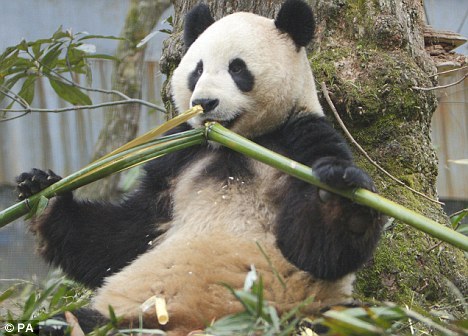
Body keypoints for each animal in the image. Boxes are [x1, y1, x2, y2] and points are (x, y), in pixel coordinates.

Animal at [16, 1, 384, 334]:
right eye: (197, 70)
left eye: (238, 69)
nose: (204, 103)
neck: (233, 144)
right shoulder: (178, 157)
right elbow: (122, 237)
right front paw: (42, 192)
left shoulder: (300, 140)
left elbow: (316, 250)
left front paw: (342, 194)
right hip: (130, 312)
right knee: (72, 321)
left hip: (301, 315)